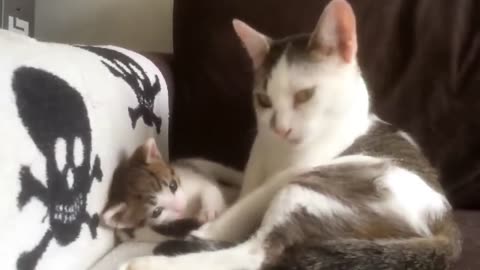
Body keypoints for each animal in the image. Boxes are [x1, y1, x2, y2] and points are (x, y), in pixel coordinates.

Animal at [102, 138, 242, 231]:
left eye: (173, 186)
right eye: (156, 212)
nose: (181, 206)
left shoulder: (192, 180)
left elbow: (209, 189)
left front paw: (209, 211)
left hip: (200, 163)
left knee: (225, 172)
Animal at [118, 1, 460, 268]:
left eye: (304, 95)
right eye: (264, 100)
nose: (280, 128)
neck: (279, 152)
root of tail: (447, 228)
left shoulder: (289, 175)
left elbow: (237, 211)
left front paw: (201, 225)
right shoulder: (256, 161)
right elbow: (237, 185)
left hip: (319, 185)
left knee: (254, 254)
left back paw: (146, 260)